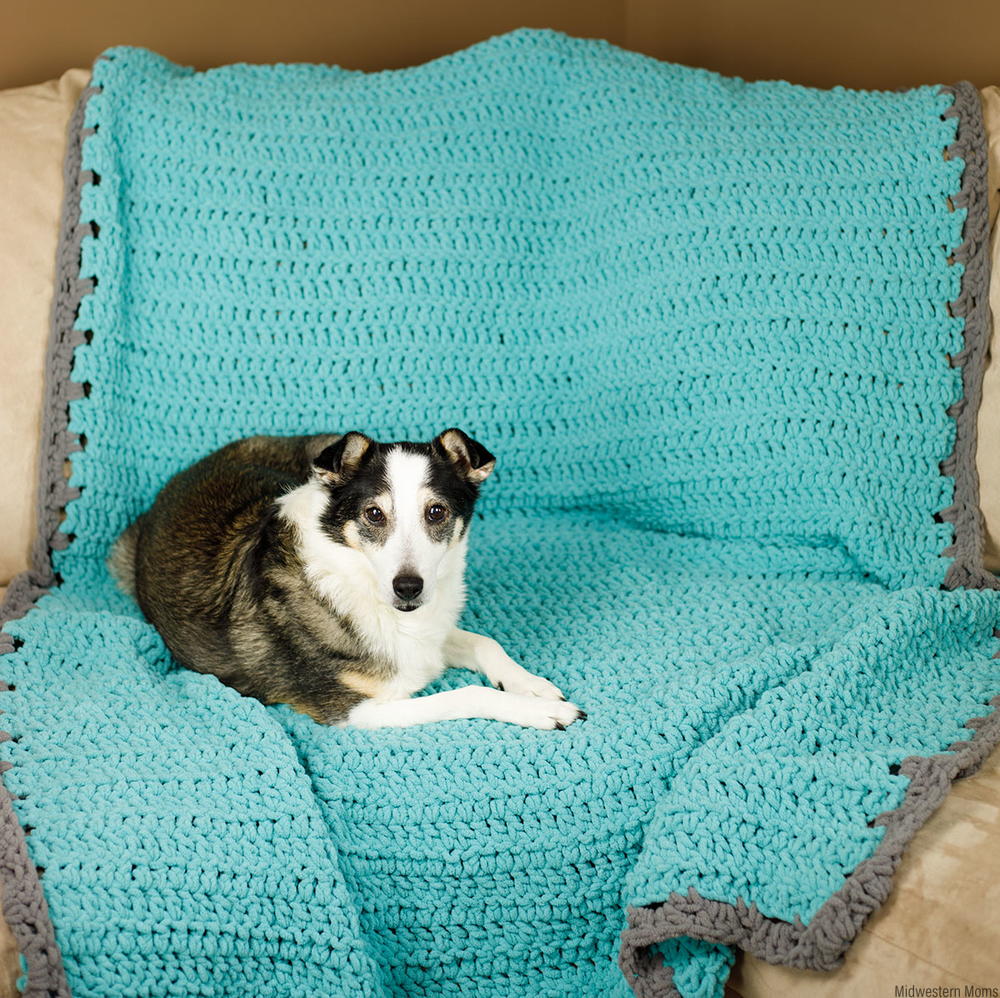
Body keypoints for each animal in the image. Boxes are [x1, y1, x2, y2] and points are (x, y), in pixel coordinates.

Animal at [107, 434, 584, 732]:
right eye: (373, 513)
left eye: (437, 512)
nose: (408, 588)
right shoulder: (354, 710)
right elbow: (465, 693)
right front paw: (538, 710)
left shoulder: (427, 636)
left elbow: (486, 643)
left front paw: (532, 685)